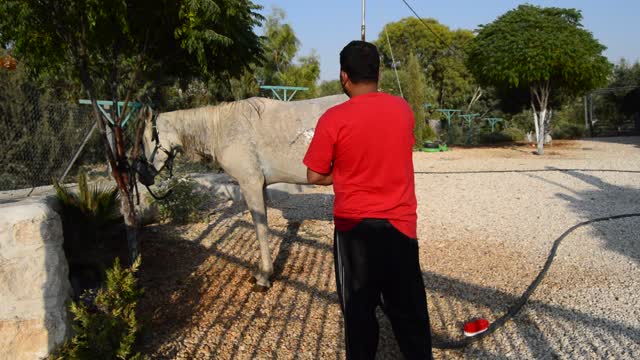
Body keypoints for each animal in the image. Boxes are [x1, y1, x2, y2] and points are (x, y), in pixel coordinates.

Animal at [142, 94, 348, 288]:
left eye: (148, 138)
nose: (143, 176)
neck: (223, 129)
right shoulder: (259, 186)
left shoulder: (250, 183)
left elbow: (260, 228)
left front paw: (264, 276)